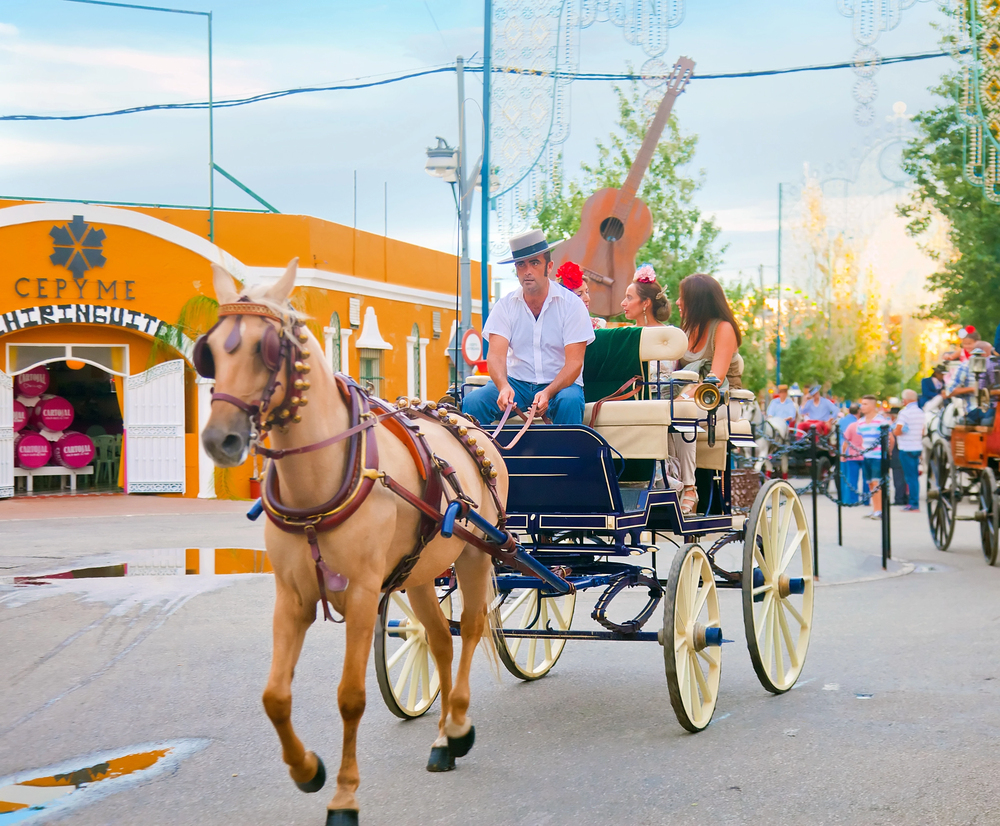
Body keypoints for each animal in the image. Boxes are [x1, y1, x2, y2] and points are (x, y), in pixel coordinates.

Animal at [197, 260, 508, 820]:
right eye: (209, 349)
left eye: (266, 348)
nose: (219, 439)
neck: (321, 478)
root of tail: (466, 422)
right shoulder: (292, 596)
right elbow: (274, 696)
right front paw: (307, 770)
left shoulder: (363, 595)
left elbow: (350, 697)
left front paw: (343, 795)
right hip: (421, 572)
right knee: (438, 638)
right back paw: (442, 741)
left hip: (475, 555)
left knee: (471, 630)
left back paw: (457, 724)